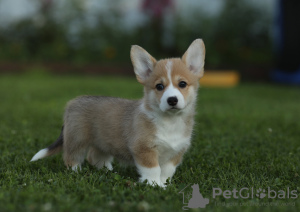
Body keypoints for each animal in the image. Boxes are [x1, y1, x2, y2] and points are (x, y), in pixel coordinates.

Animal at [30, 38, 205, 187]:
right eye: (159, 86)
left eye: (182, 84)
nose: (172, 100)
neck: (170, 121)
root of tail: (72, 103)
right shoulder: (144, 149)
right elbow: (153, 169)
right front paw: (153, 185)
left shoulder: (176, 152)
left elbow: (167, 172)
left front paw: (164, 185)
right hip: (77, 139)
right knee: (71, 157)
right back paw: (77, 172)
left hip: (102, 142)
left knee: (94, 156)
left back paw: (108, 171)